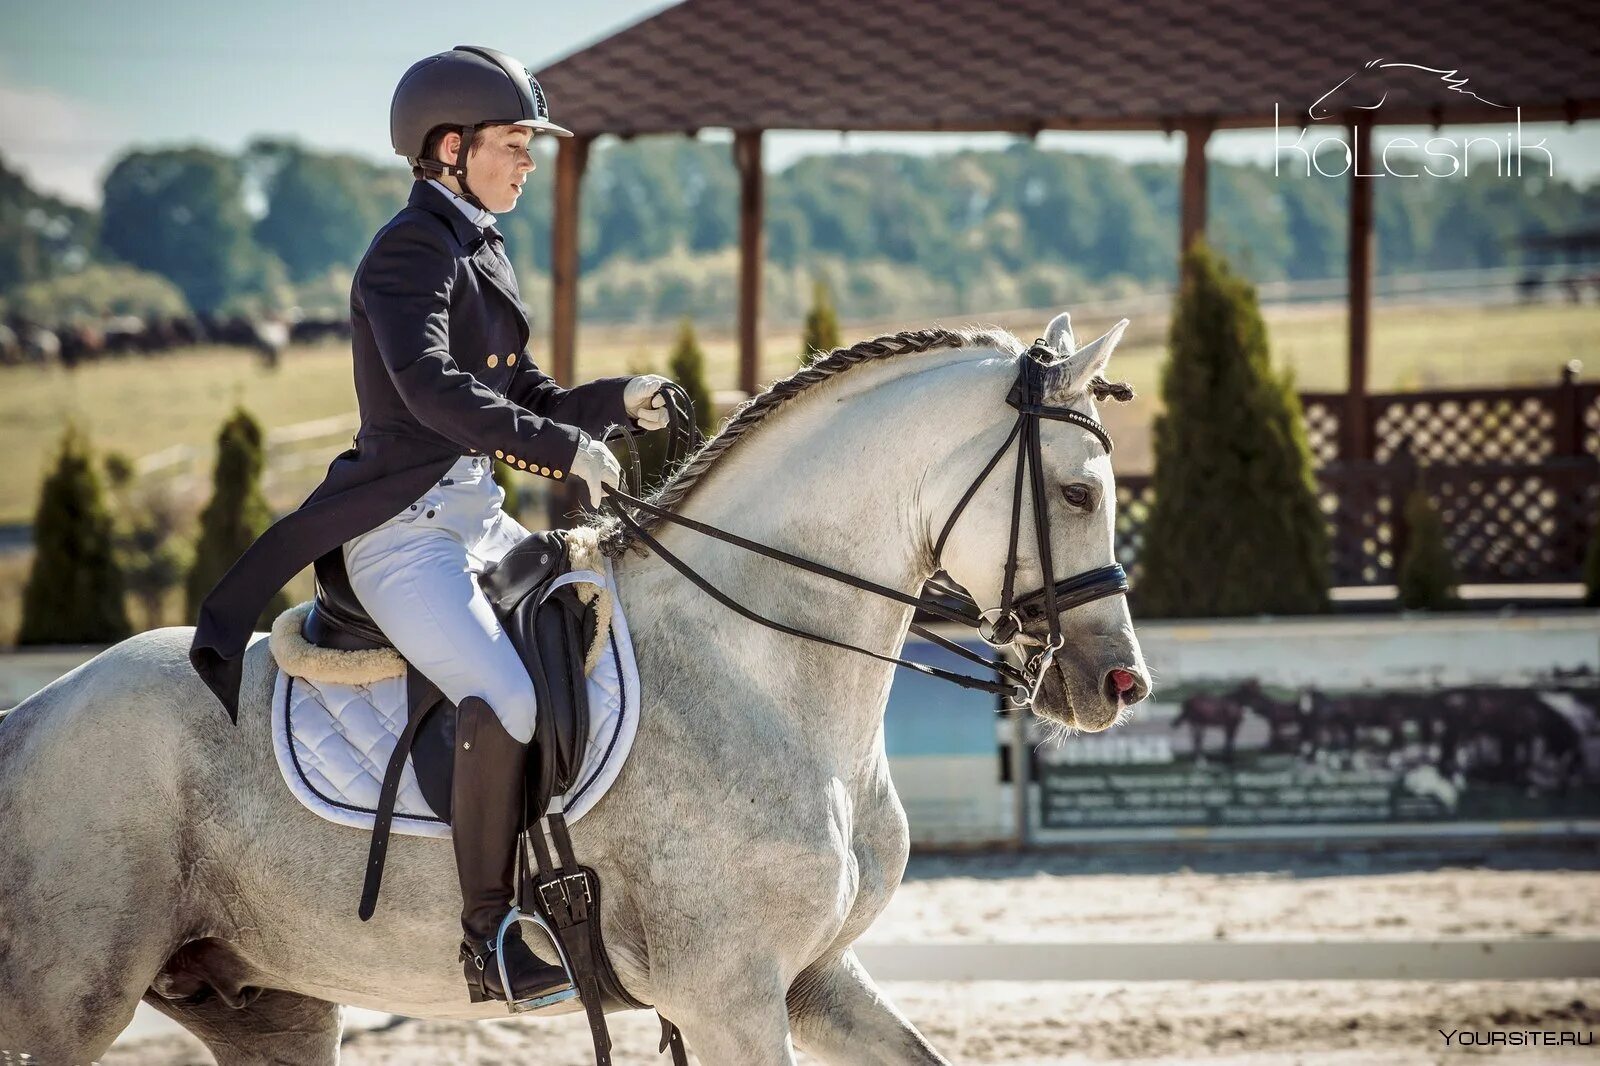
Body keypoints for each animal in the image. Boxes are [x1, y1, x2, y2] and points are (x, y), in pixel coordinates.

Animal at [0, 312, 1152, 1056]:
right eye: (1075, 492)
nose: (1116, 682)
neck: (758, 666)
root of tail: (33, 715)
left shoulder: (812, 978)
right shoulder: (730, 995)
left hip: (264, 1003)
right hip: (65, 1000)